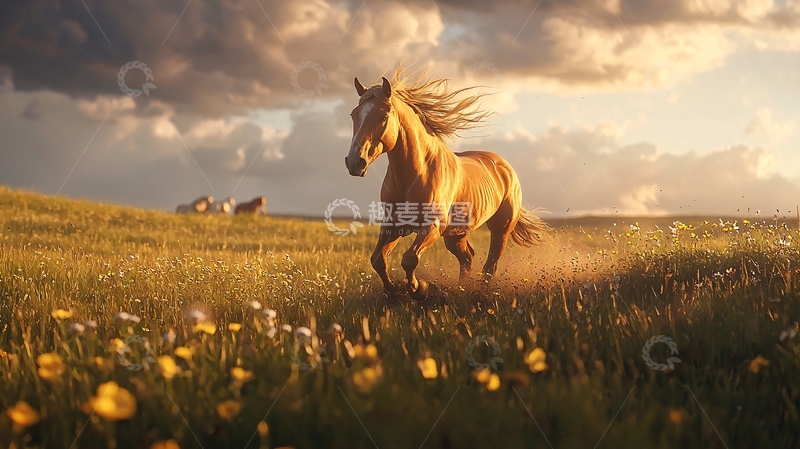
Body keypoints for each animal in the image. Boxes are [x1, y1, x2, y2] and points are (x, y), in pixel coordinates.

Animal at [345, 65, 549, 301]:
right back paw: (461, 289)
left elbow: (409, 259)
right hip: (456, 235)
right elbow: (378, 260)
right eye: (353, 115)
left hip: (500, 229)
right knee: (468, 258)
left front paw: (419, 289)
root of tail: (506, 168)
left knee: (490, 265)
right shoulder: (392, 226)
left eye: (383, 116)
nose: (354, 162)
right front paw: (394, 291)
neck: (415, 175)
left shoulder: (432, 227)